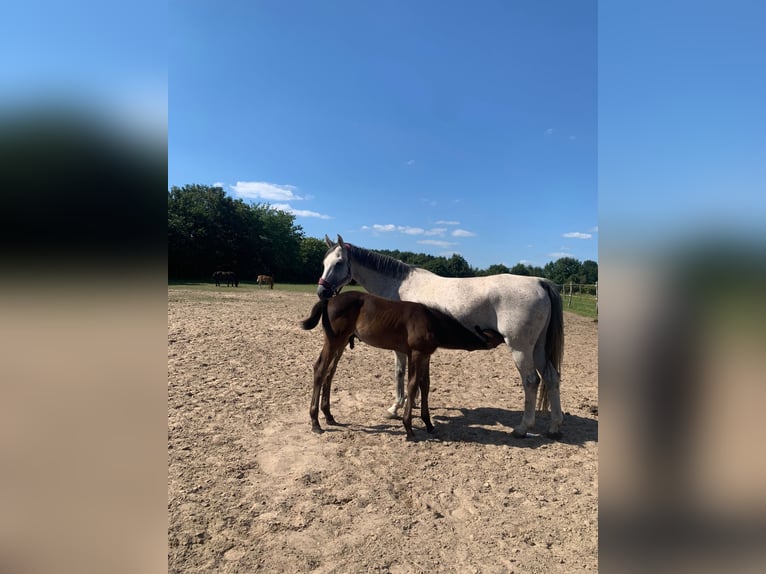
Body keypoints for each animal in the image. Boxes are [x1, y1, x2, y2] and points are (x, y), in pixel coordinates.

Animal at [302, 292, 510, 440]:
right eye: (497, 335)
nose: (507, 337)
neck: (433, 322)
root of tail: (329, 300)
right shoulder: (416, 353)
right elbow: (412, 384)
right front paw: (409, 428)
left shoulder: (425, 354)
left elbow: (425, 385)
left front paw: (429, 424)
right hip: (334, 340)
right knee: (320, 369)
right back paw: (315, 422)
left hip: (343, 342)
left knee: (330, 373)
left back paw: (329, 416)